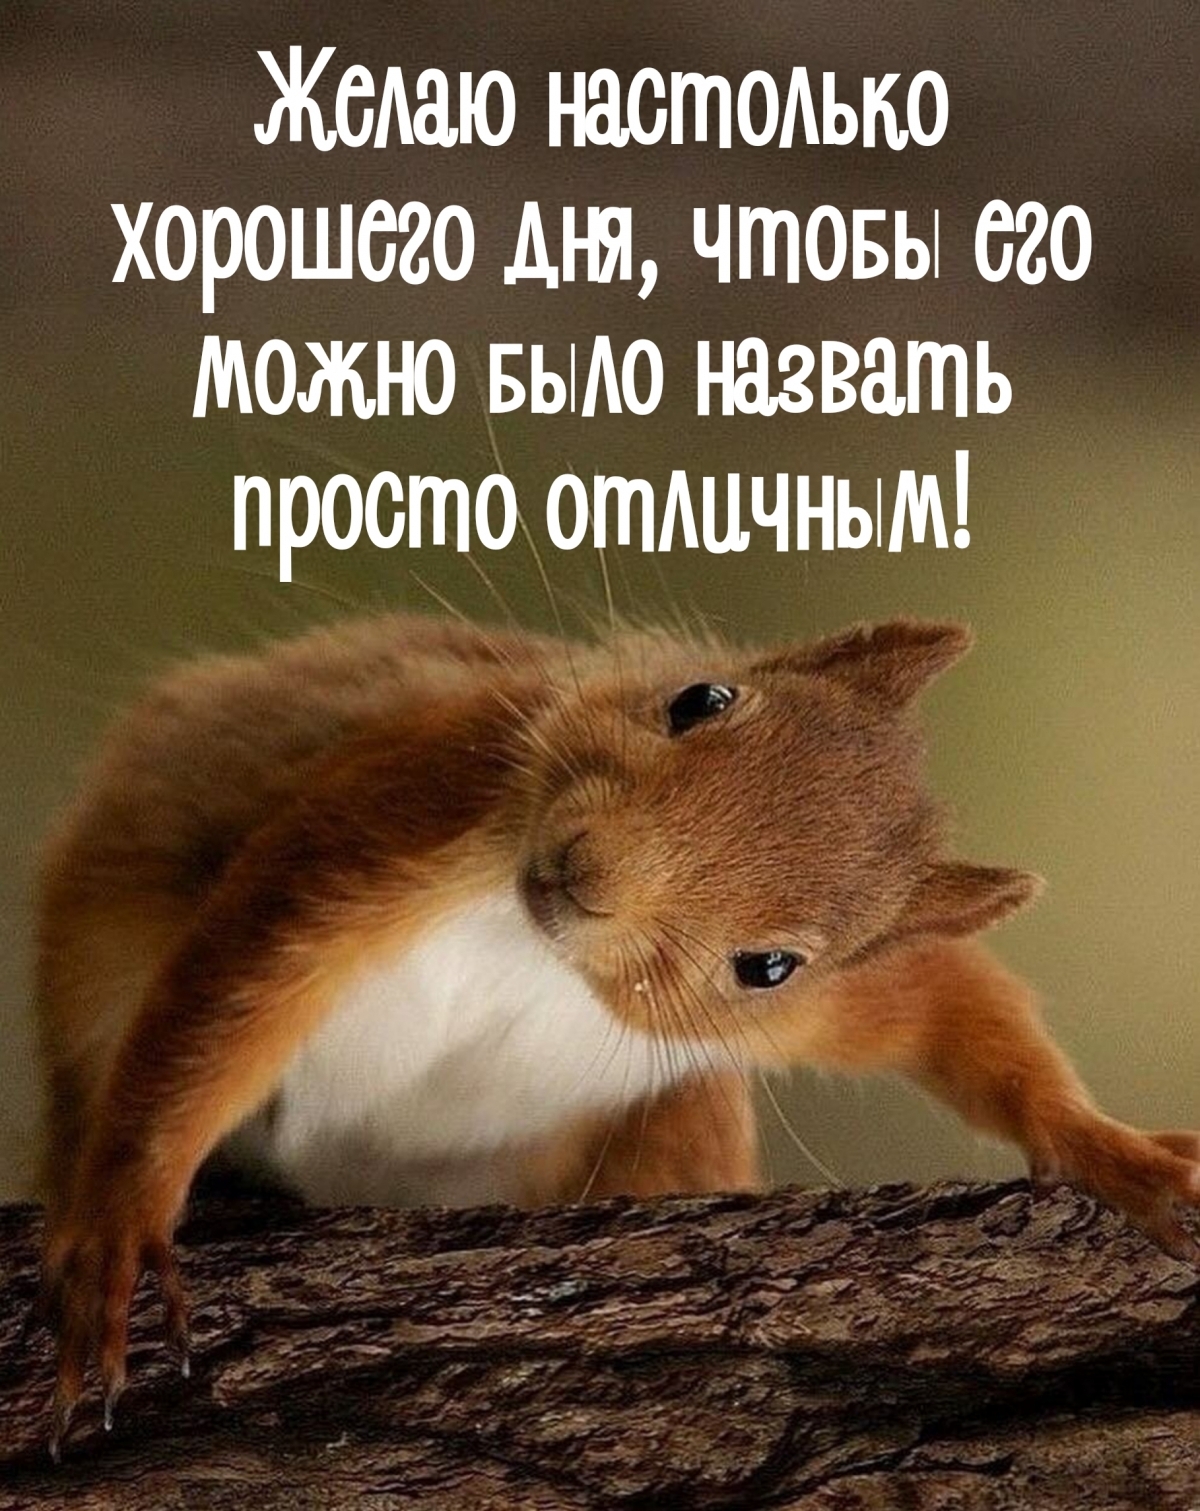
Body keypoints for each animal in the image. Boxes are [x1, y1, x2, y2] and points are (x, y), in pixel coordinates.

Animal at [30, 612, 1199, 1455]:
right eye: (701, 696)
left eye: (768, 964)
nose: (583, 868)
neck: (541, 950)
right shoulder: (432, 789)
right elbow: (236, 989)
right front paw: (126, 1221)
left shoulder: (828, 996)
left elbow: (951, 1004)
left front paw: (1113, 1151)